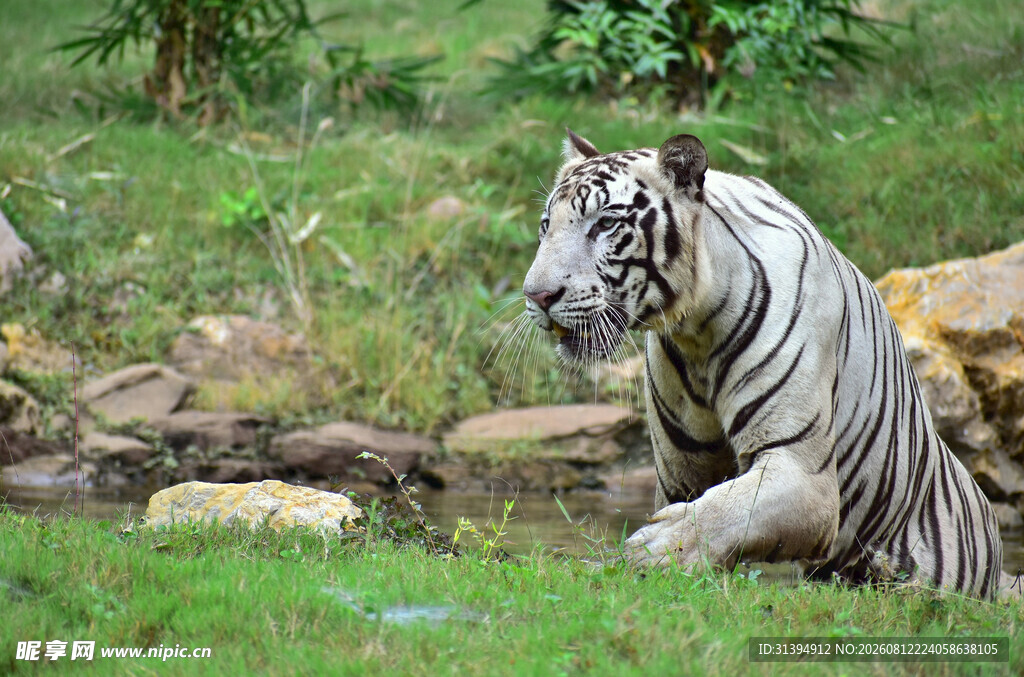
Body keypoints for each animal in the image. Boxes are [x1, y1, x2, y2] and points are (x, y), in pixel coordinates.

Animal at [522, 130, 1004, 598]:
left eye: (605, 224)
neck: (695, 330)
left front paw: (656, 550)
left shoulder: (801, 470)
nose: (537, 295)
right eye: (546, 226)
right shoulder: (680, 473)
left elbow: (734, 510)